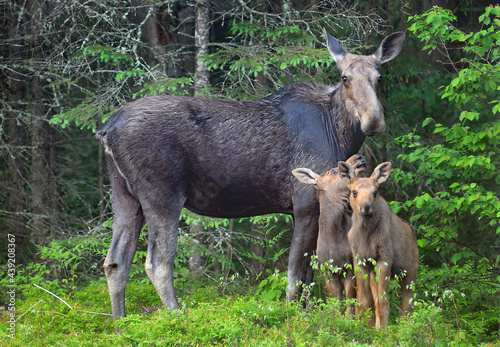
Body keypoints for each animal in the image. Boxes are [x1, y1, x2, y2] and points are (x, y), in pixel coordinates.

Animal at [292, 154, 368, 316]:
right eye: (334, 171)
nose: (359, 157)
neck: (333, 237)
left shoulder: (349, 268)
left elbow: (350, 303)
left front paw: (351, 320)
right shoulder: (328, 271)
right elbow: (335, 303)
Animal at [340, 162, 418, 330]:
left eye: (375, 192)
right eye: (354, 192)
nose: (366, 207)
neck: (366, 234)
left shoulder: (384, 258)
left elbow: (383, 302)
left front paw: (383, 332)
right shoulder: (360, 261)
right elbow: (364, 301)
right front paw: (365, 329)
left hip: (410, 271)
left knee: (407, 305)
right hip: (374, 273)